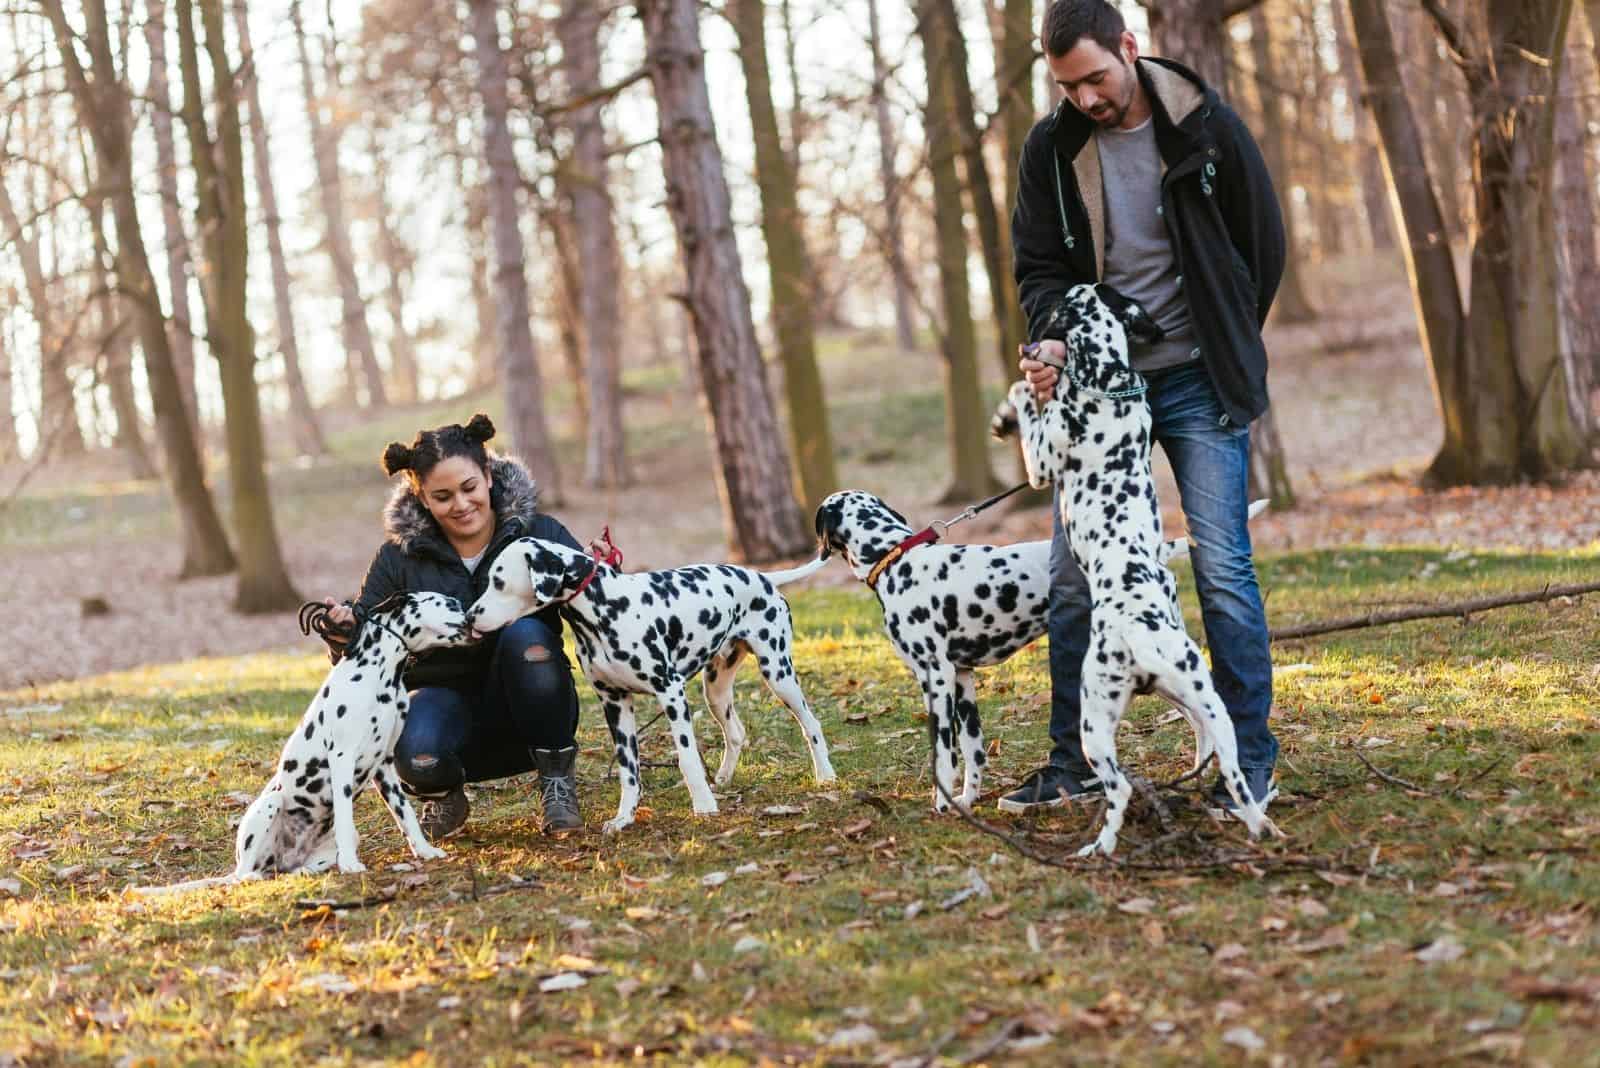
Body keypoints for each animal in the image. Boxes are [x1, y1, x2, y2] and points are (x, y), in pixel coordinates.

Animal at [132, 591, 470, 895]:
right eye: (449, 603)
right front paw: (351, 865)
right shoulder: (343, 757)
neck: (379, 675)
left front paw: (425, 851)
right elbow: (345, 816)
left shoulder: (384, 766)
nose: (470, 612)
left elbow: (406, 815)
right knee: (244, 876)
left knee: (289, 871)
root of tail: (281, 861)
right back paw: (255, 874)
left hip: (316, 852)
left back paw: (305, 872)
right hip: (269, 805)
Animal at [825, 489, 1260, 808]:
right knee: (1200, 722)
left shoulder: (937, 680)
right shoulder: (962, 680)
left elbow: (945, 754)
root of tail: (1148, 559)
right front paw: (968, 800)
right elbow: (974, 750)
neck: (897, 559)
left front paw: (943, 805)